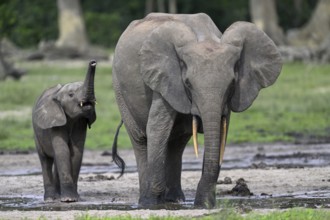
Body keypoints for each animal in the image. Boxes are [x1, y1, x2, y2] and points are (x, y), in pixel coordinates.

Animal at [32, 60, 98, 203]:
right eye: (71, 95)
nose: (93, 62)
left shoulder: (80, 122)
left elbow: (76, 152)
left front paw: (74, 198)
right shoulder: (55, 122)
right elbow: (63, 151)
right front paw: (69, 200)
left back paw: (58, 196)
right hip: (36, 134)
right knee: (45, 160)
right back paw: (50, 199)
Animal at [112, 12, 282, 209]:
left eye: (232, 84)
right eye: (188, 84)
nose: (203, 203)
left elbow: (221, 131)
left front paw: (204, 205)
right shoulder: (163, 80)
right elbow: (157, 129)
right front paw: (152, 205)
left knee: (176, 143)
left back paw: (175, 200)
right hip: (119, 89)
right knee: (140, 139)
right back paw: (148, 202)